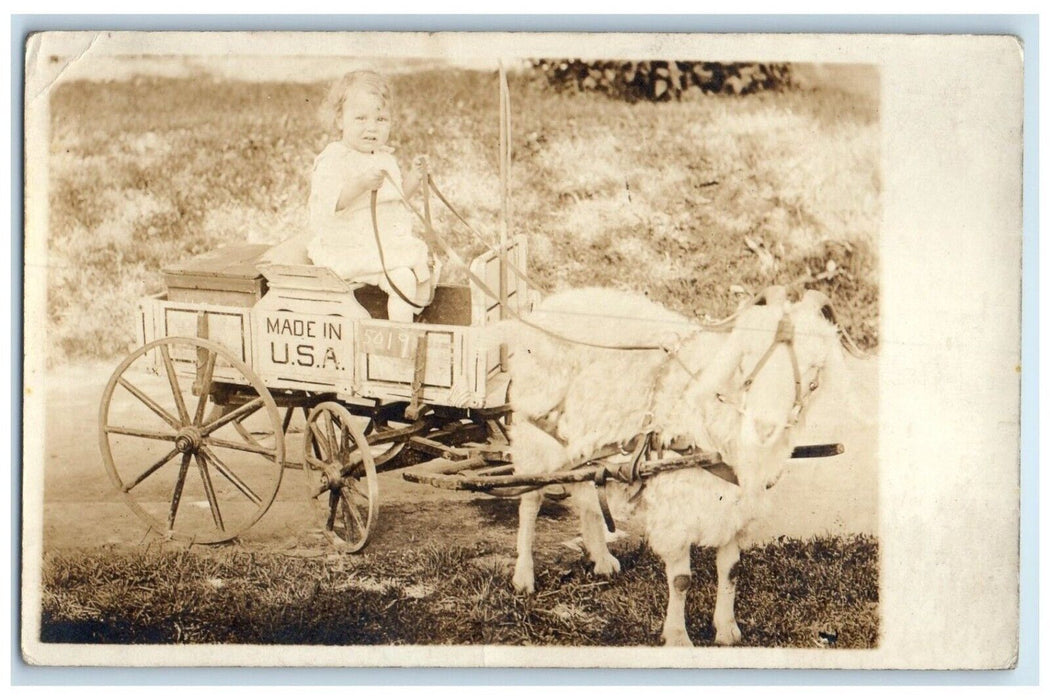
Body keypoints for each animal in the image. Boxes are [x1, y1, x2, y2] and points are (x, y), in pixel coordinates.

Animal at [495, 285, 848, 646]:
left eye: (815, 371)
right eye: (745, 358)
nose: (763, 427)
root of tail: (550, 304)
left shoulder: (736, 507)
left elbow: (731, 570)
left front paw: (726, 629)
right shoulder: (675, 509)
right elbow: (681, 580)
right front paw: (678, 637)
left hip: (585, 441)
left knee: (588, 492)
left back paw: (602, 558)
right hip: (536, 434)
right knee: (530, 502)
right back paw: (524, 575)